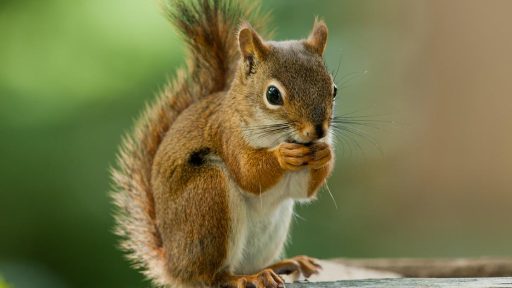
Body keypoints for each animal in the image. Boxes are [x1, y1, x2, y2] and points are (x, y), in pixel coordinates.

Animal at [111, 0, 336, 288]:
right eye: (273, 94)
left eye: (334, 90)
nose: (318, 130)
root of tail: (174, 266)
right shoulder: (227, 136)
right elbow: (249, 174)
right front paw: (283, 156)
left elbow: (303, 190)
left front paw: (325, 153)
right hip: (209, 197)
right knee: (213, 277)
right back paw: (247, 277)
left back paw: (281, 265)